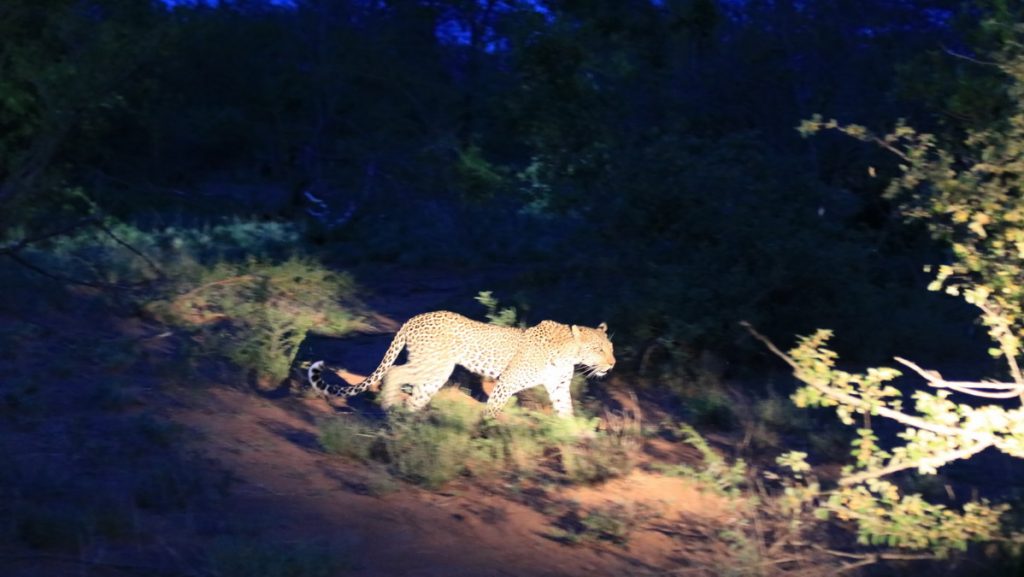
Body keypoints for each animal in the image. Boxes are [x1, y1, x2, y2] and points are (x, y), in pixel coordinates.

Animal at [305, 309, 614, 418]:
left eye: (610, 349)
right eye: (598, 349)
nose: (612, 365)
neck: (569, 354)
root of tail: (415, 318)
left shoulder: (558, 387)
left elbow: (566, 411)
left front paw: (571, 437)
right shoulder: (508, 381)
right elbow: (493, 408)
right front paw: (488, 430)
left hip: (436, 371)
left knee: (417, 392)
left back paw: (411, 420)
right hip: (433, 364)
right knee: (394, 371)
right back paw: (389, 408)